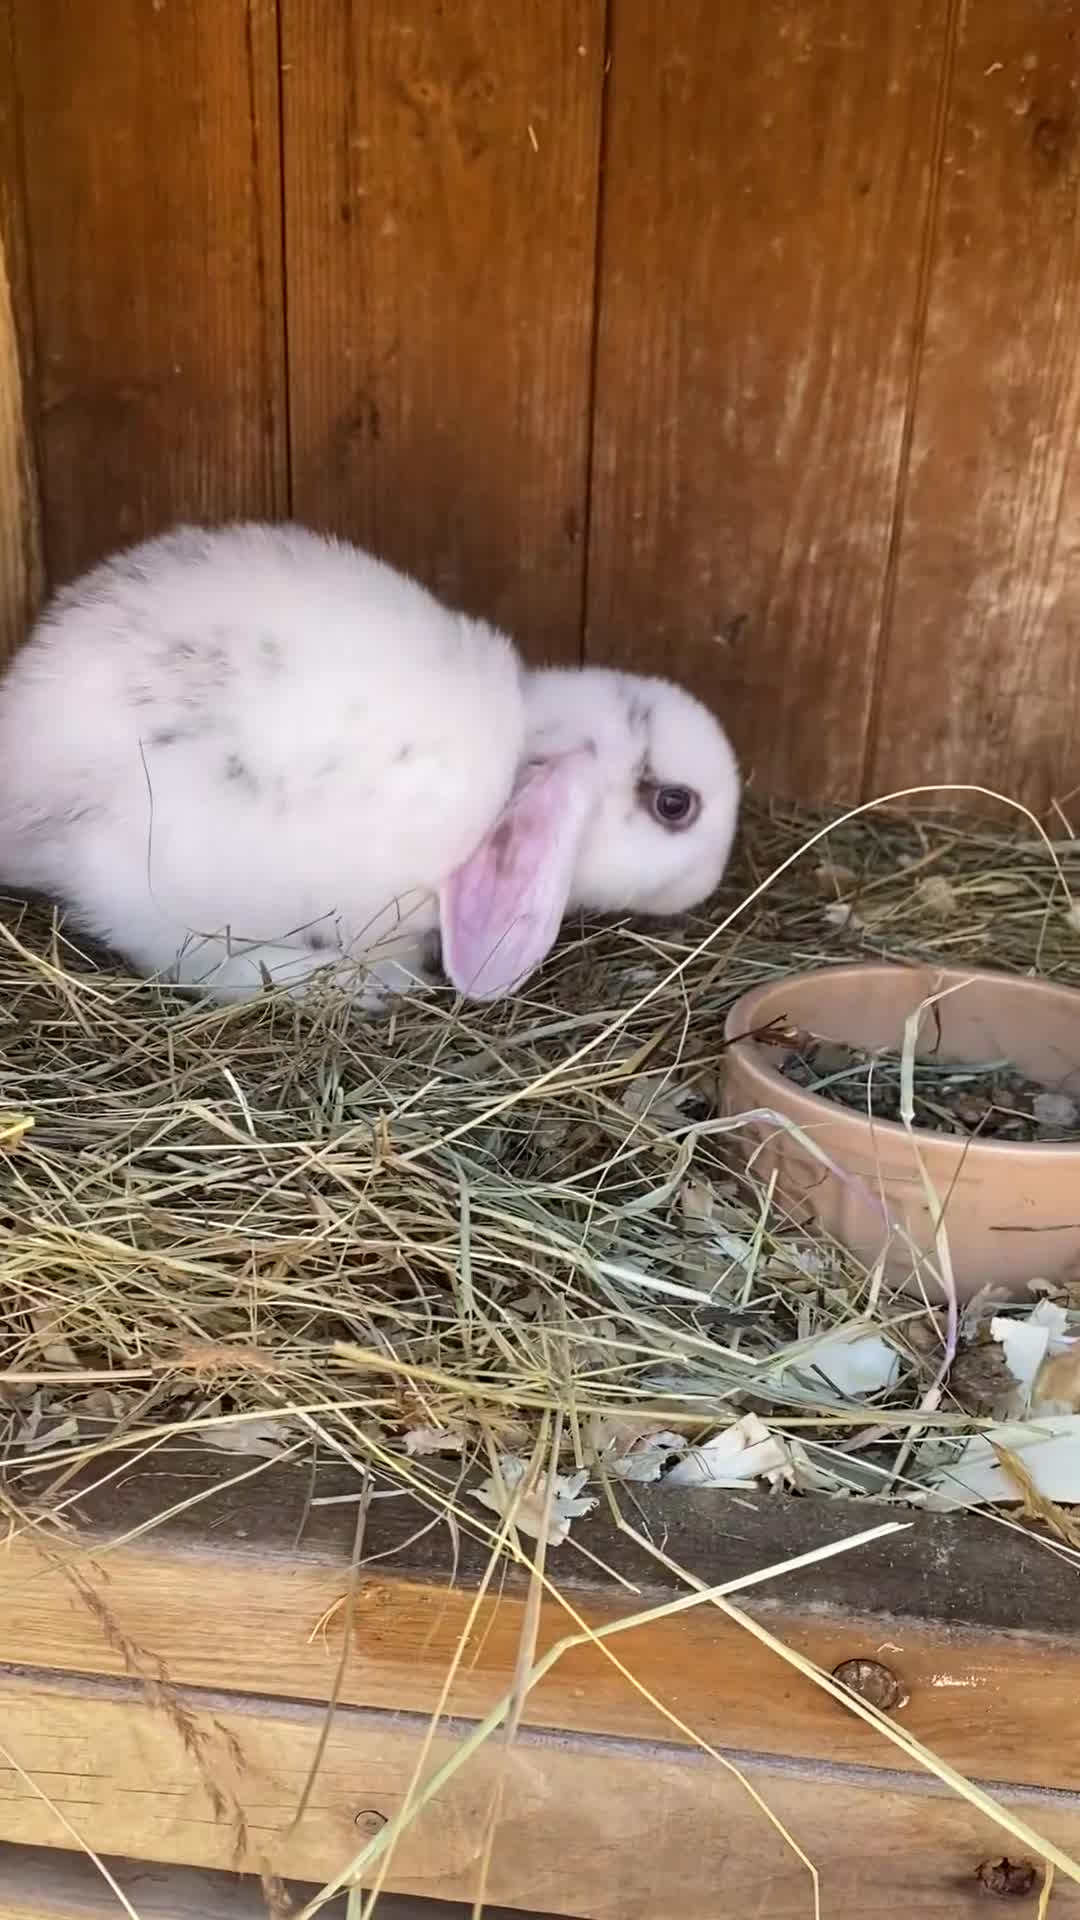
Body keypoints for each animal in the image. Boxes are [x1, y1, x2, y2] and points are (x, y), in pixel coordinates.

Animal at [0, 522, 740, 1005]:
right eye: (676, 804)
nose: (712, 880)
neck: (511, 762)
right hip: (170, 883)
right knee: (194, 963)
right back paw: (369, 983)